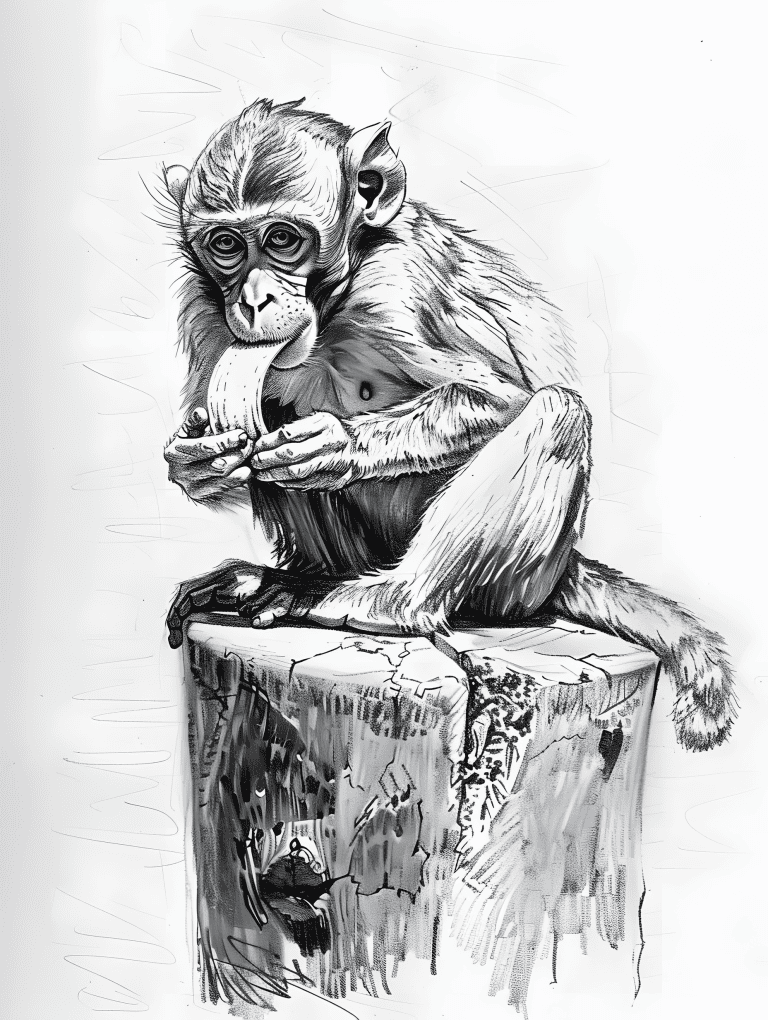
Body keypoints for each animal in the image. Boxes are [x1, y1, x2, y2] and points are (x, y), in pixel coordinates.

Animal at [161, 98, 735, 753]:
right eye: (226, 245)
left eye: (282, 239)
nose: (252, 301)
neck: (336, 304)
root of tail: (567, 569)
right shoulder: (204, 309)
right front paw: (195, 460)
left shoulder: (399, 286)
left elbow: (502, 399)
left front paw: (333, 447)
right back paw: (286, 579)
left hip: (520, 585)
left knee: (557, 412)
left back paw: (391, 601)